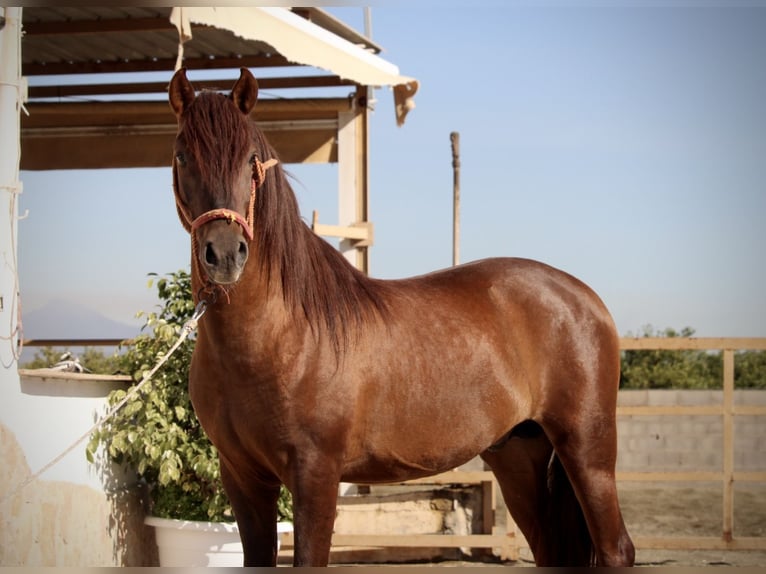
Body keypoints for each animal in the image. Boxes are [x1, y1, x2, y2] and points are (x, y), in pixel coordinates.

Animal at [168, 67, 635, 567]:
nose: (224, 254)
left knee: (616, 549)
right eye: (181, 155)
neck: (279, 338)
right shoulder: (242, 477)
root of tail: (582, 296)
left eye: (250, 160)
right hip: (518, 457)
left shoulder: (315, 474)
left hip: (587, 449)